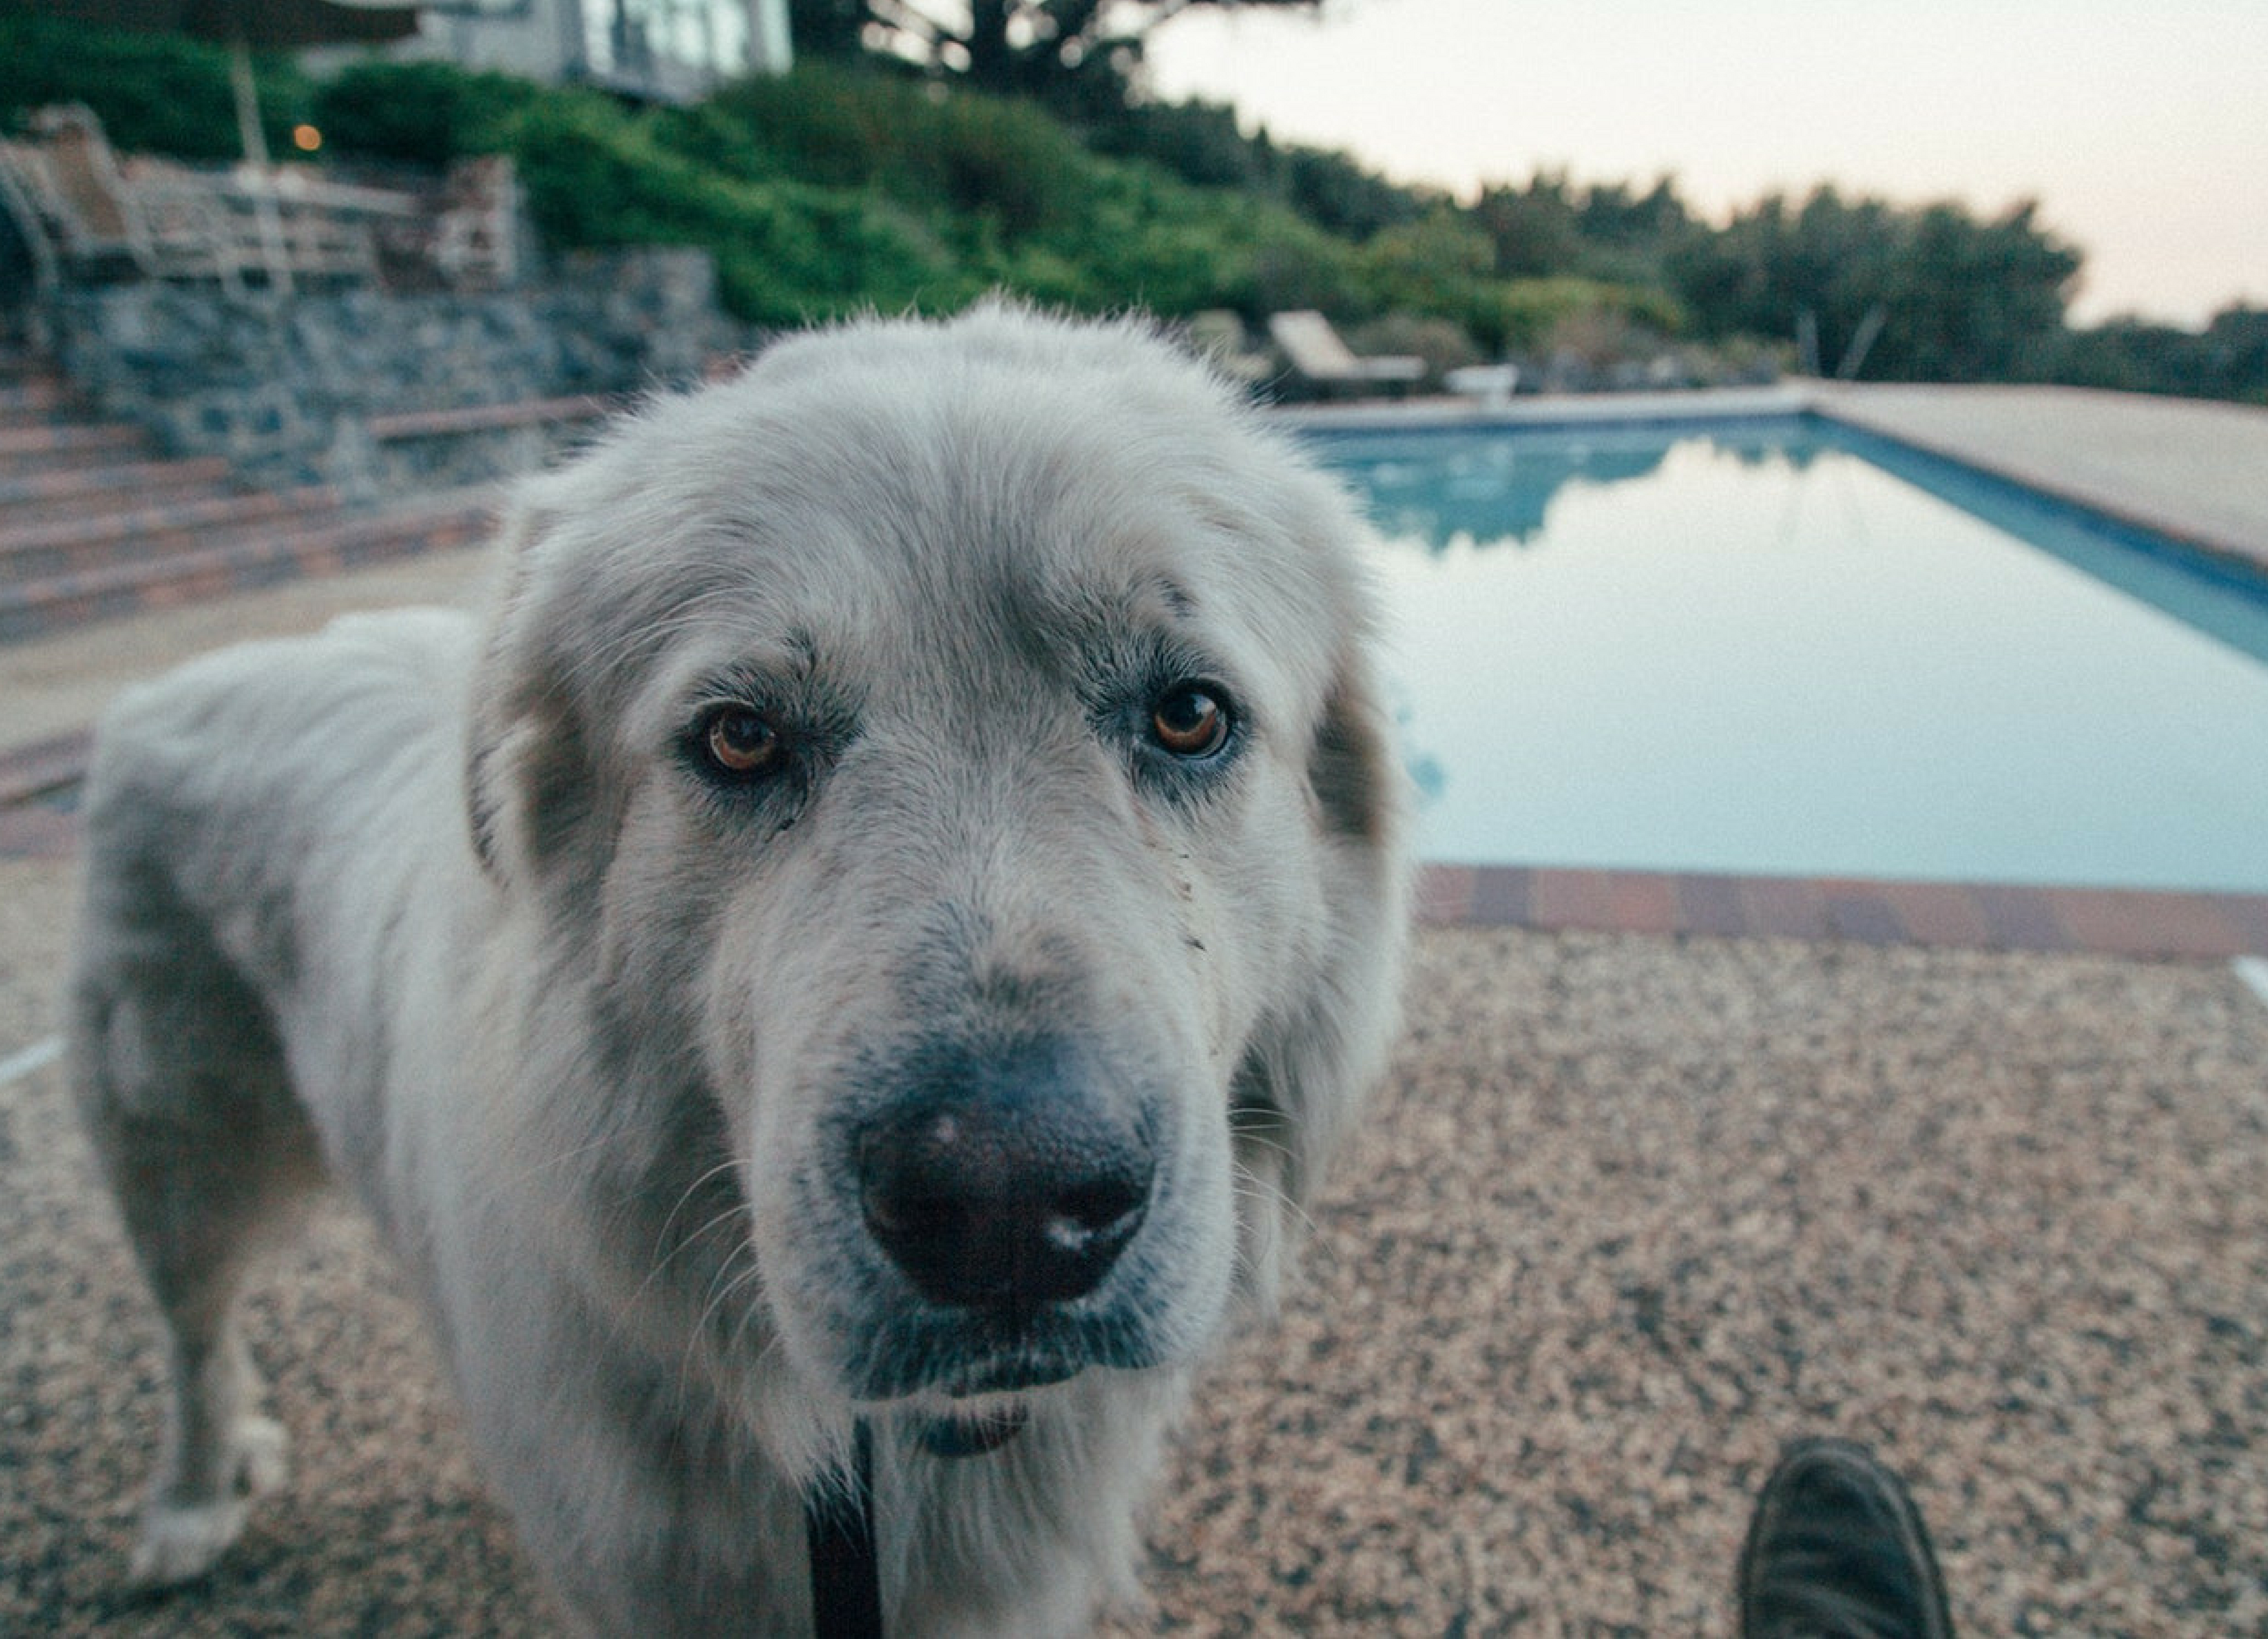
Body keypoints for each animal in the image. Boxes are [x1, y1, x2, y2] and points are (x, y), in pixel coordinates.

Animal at [66, 308, 1397, 1639]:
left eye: (1187, 715)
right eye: (741, 738)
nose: (1008, 1205)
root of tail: (174, 683)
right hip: (174, 1165)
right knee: (191, 1336)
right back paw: (190, 1500)